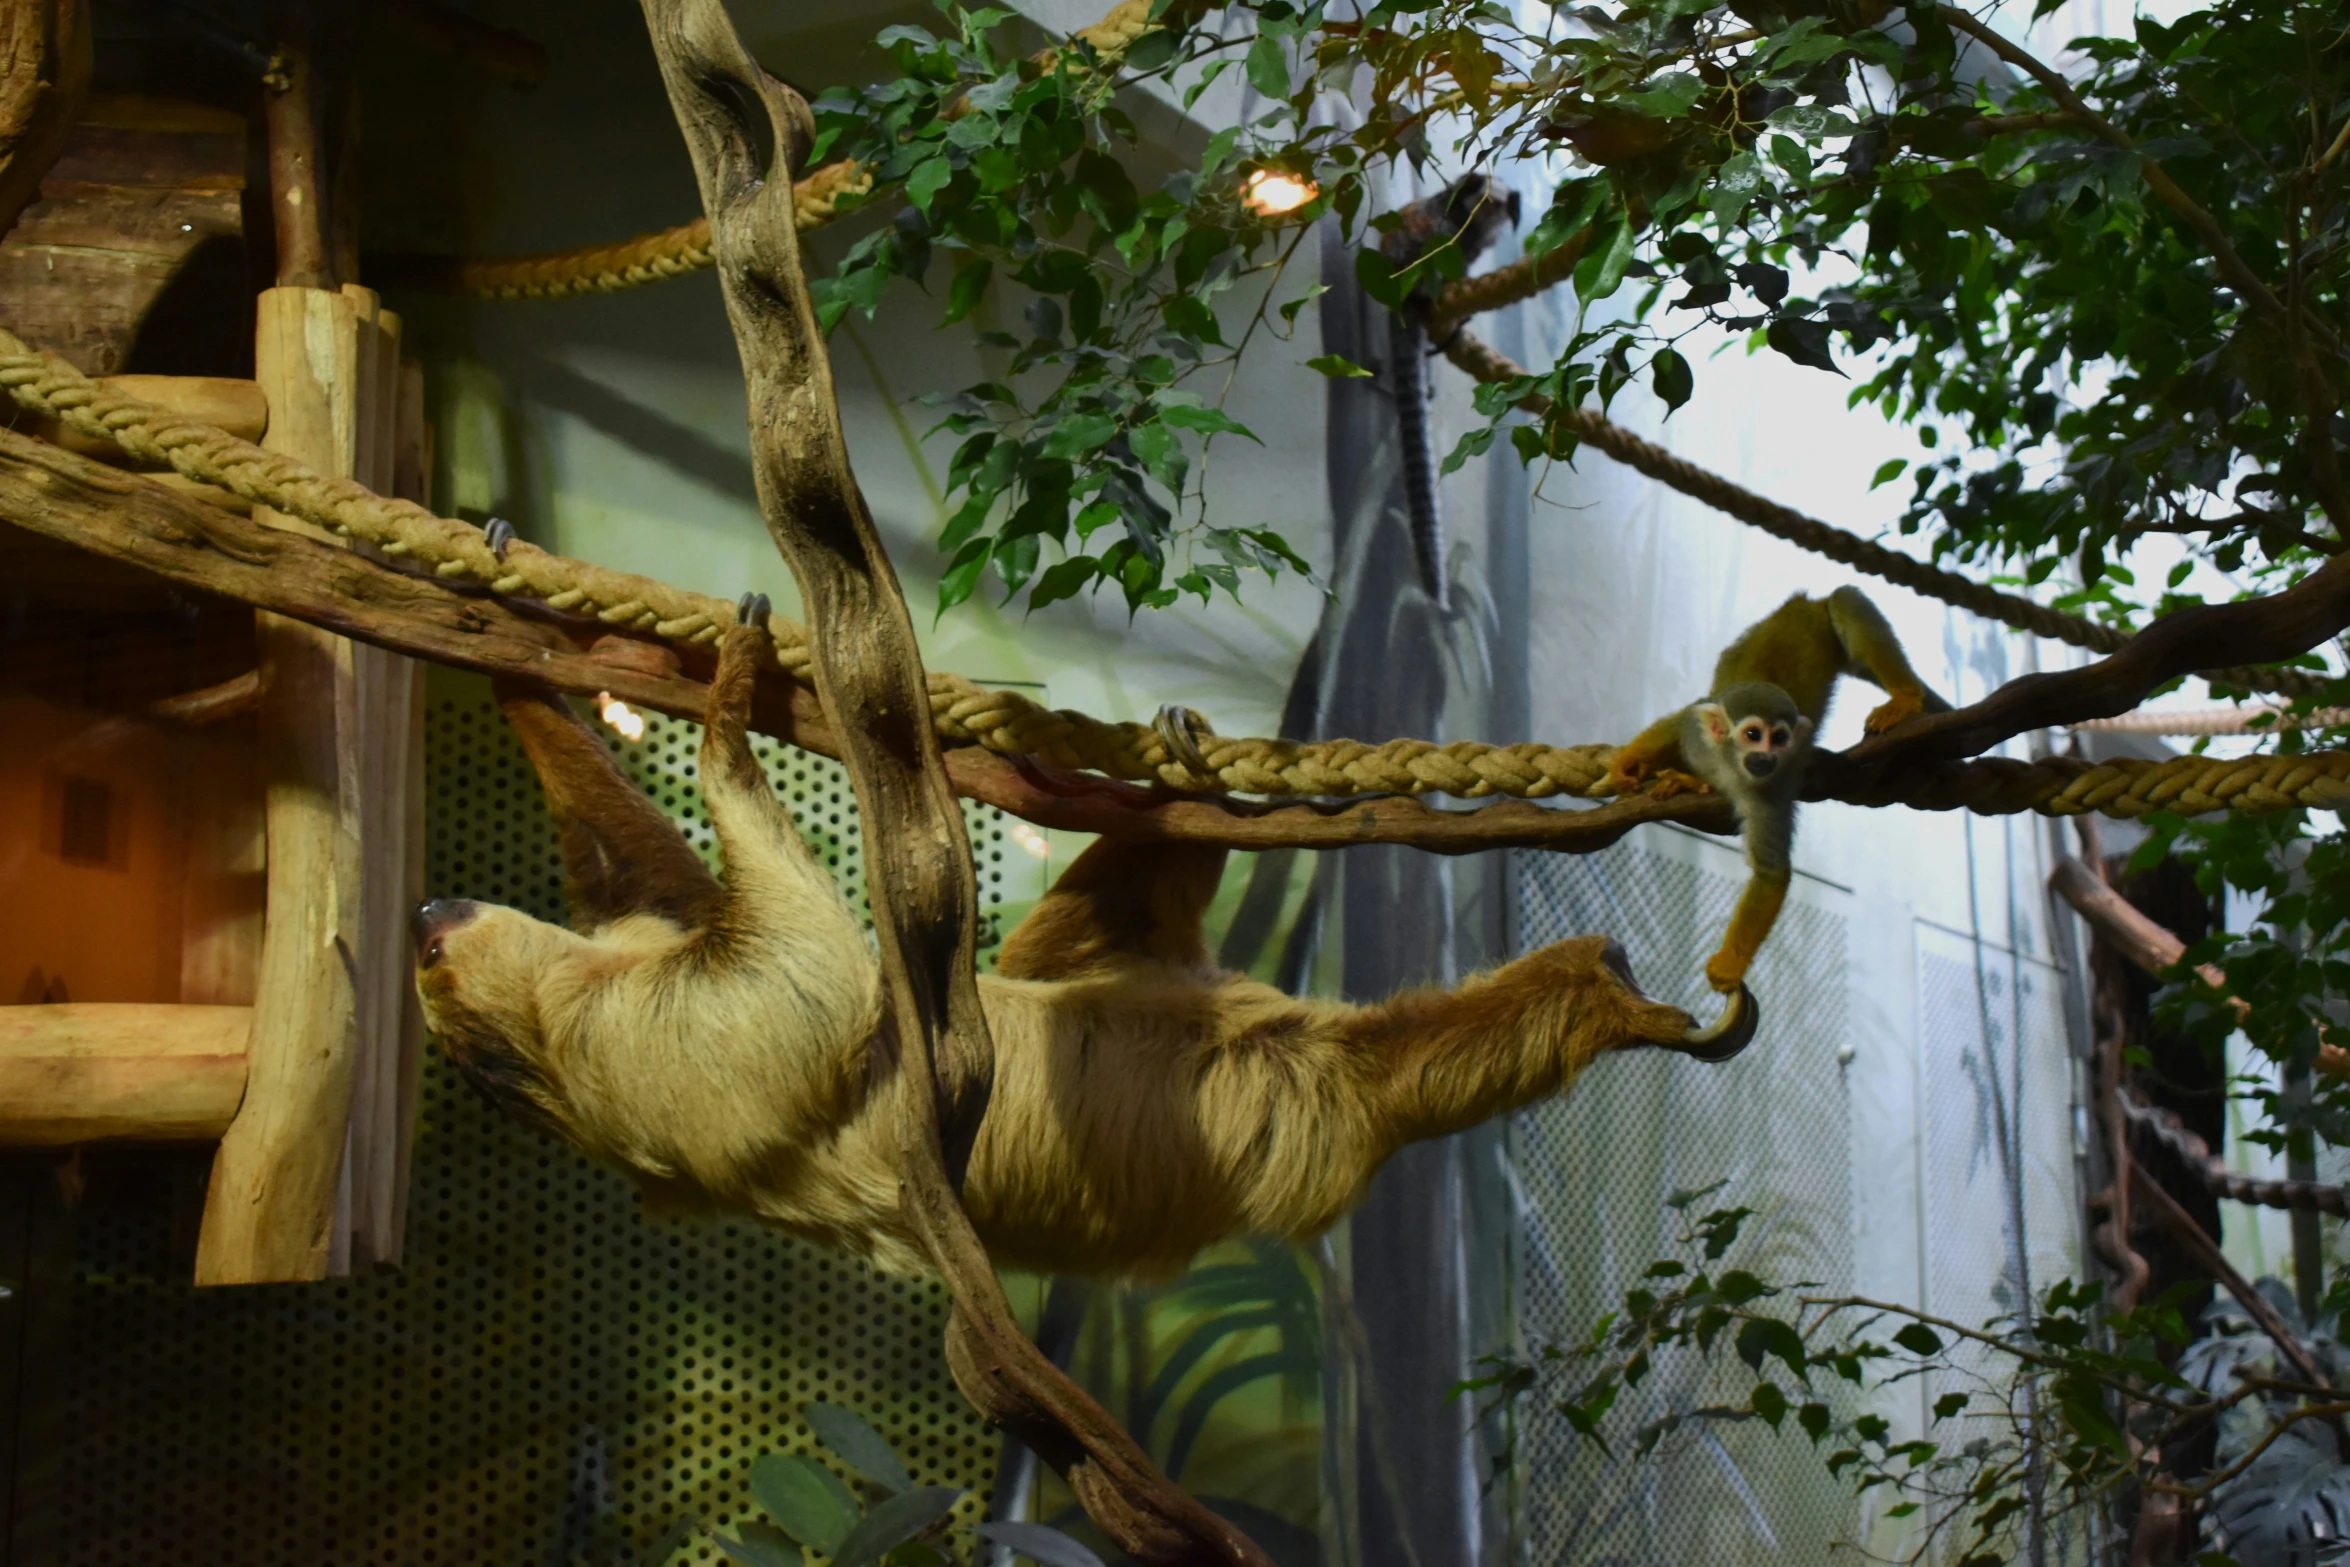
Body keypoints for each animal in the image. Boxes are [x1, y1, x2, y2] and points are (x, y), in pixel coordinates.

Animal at [1597, 587, 1945, 991]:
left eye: (1779, 739)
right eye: (1753, 735)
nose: (1766, 757)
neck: (1730, 767)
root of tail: (1803, 603)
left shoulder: (1771, 790)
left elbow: (1771, 873)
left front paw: (1730, 963)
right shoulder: (1699, 736)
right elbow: (1683, 718)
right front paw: (1629, 763)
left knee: (1846, 601)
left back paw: (1905, 697)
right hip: (1745, 642)